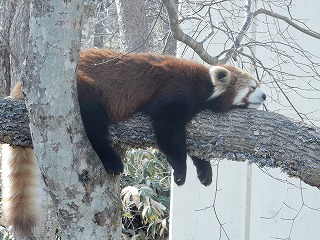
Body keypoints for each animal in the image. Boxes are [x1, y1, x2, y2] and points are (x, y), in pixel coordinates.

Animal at [2, 48, 266, 236]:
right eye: (252, 87)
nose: (264, 95)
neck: (205, 86)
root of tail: (24, 82)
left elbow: (196, 144)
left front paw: (204, 171)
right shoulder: (175, 93)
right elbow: (168, 132)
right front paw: (180, 171)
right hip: (81, 89)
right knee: (94, 123)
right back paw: (111, 159)